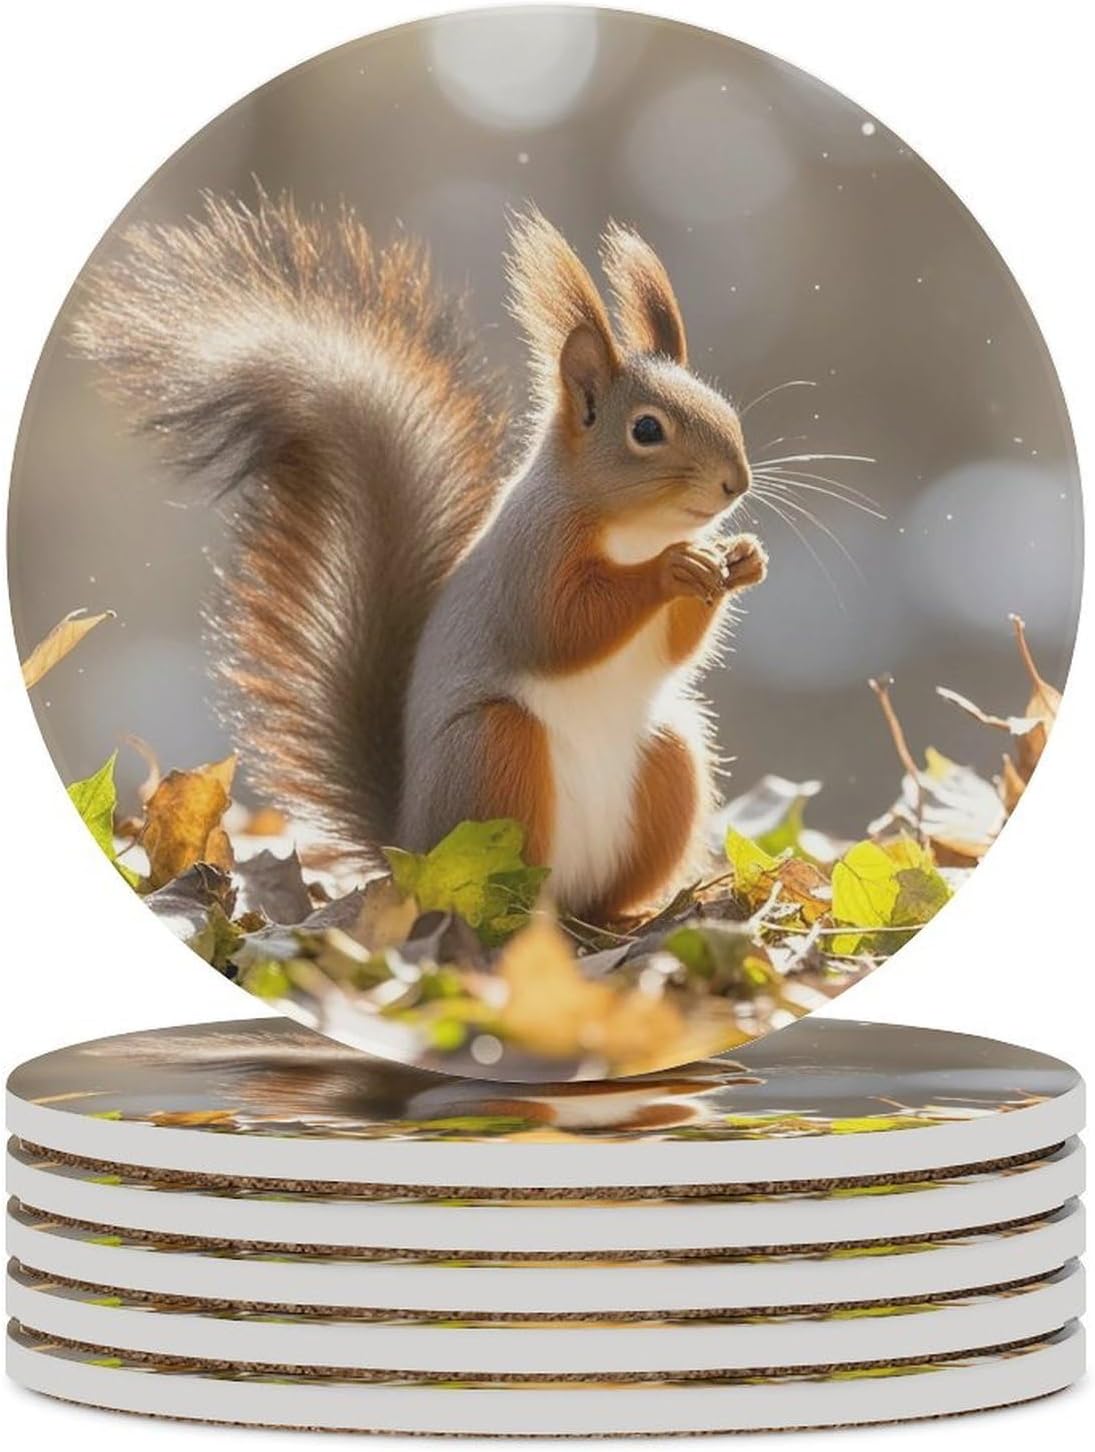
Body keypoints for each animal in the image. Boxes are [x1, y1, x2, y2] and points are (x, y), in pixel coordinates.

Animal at [73, 194, 766, 922]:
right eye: (646, 430)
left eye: (723, 408)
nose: (736, 483)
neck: (636, 531)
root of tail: (407, 847)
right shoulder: (530, 555)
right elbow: (560, 627)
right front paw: (673, 570)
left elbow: (673, 650)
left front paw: (739, 560)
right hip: (492, 752)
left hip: (668, 760)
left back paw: (625, 914)